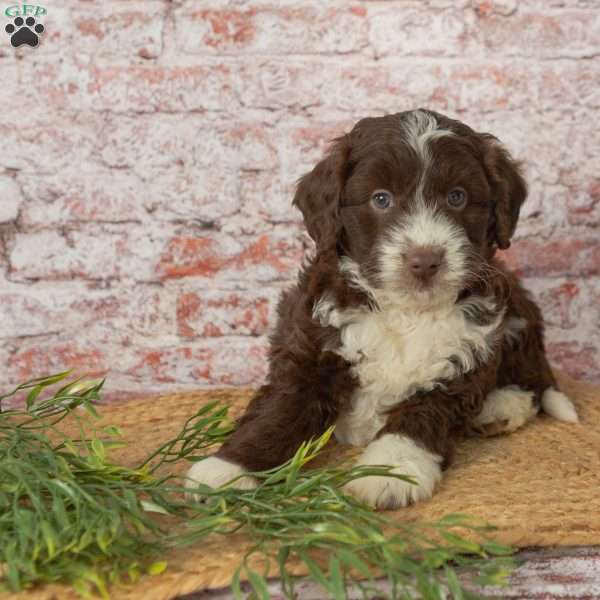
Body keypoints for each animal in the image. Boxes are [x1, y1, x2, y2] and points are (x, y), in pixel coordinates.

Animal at [186, 110, 576, 508]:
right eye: (381, 199)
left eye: (457, 197)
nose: (425, 260)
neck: (405, 310)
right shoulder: (310, 346)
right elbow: (281, 409)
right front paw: (228, 468)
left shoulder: (464, 355)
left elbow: (421, 417)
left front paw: (390, 472)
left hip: (516, 313)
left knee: (533, 378)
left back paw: (501, 407)